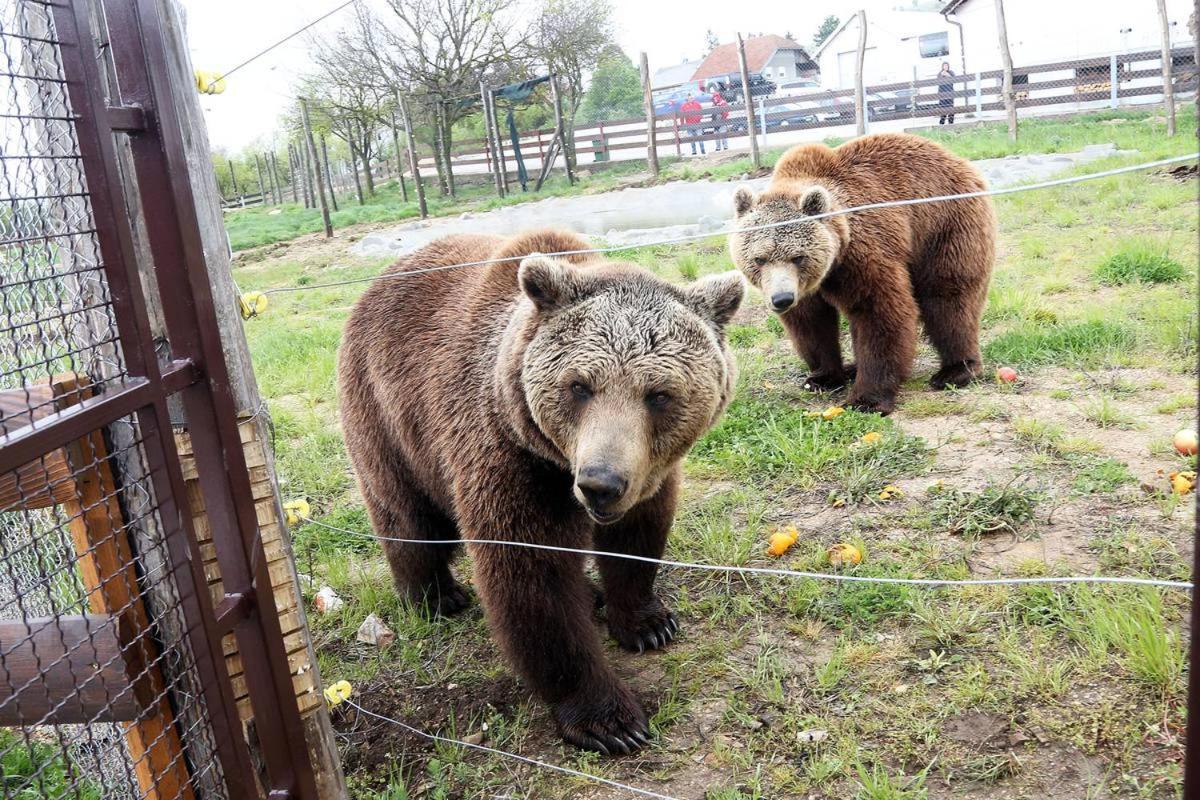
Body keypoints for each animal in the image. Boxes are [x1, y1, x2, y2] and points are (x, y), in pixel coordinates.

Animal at [729, 131, 993, 417]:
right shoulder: (807, 287)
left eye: (797, 257)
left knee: (948, 298)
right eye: (760, 258)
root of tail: (958, 159)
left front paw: (867, 399)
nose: (782, 298)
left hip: (944, 225)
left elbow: (878, 312)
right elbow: (811, 322)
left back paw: (956, 370)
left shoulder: (861, 256)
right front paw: (822, 377)